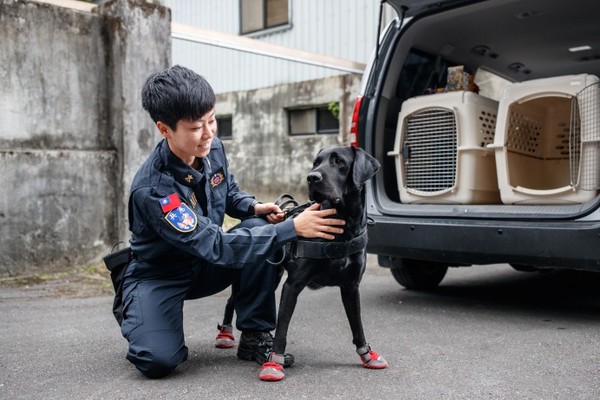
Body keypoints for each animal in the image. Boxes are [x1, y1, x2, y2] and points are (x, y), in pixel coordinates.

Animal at [218, 145, 386, 380]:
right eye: (316, 163)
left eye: (339, 162)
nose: (312, 177)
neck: (343, 225)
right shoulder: (293, 285)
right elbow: (282, 329)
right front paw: (275, 363)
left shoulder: (351, 287)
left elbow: (357, 325)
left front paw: (367, 355)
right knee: (231, 301)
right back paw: (225, 334)